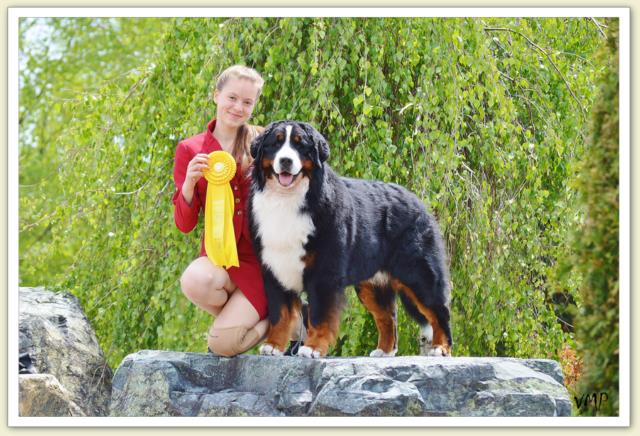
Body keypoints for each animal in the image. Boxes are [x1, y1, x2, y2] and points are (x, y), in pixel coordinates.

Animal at [248, 120, 452, 358]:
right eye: (276, 143)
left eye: (300, 145)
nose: (286, 161)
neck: (287, 200)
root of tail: (417, 200)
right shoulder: (274, 268)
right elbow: (280, 314)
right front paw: (273, 346)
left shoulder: (324, 273)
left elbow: (319, 316)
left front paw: (312, 348)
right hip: (372, 284)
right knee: (387, 316)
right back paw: (384, 351)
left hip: (419, 272)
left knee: (438, 310)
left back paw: (441, 347)